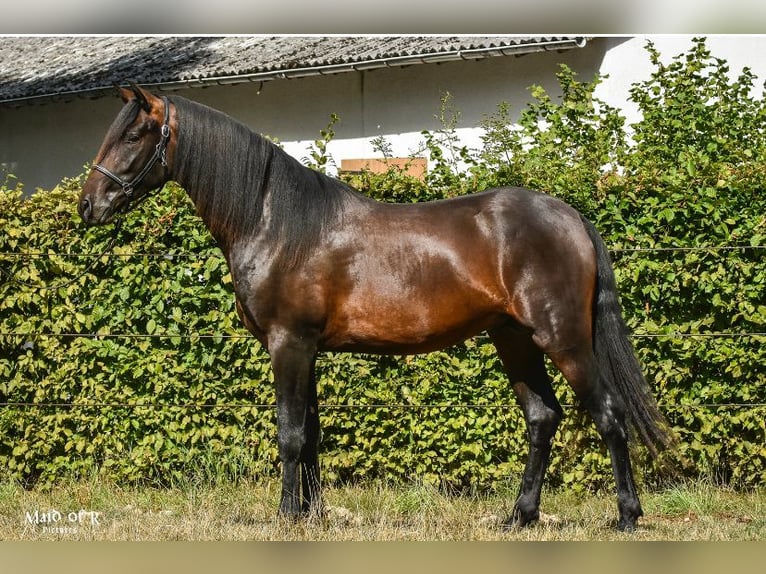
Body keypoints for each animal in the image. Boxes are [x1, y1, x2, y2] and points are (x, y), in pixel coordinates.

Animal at [78, 84, 673, 531]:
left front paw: (286, 515)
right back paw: (519, 517)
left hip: (563, 338)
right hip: (513, 339)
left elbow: (289, 433)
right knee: (542, 418)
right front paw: (312, 515)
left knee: (609, 414)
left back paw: (627, 516)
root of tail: (571, 217)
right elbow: (310, 434)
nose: (87, 206)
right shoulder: (308, 350)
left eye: (134, 134)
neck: (275, 222)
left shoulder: (288, 344)